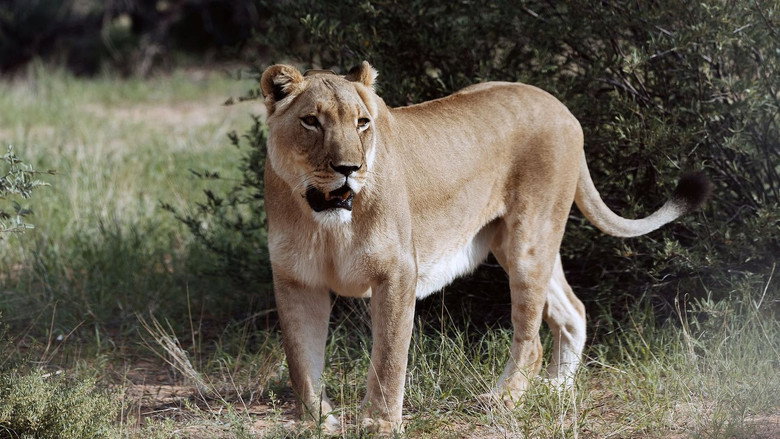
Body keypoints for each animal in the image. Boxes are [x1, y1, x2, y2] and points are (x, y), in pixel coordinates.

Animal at [259, 61, 710, 434]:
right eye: (311, 122)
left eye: (362, 123)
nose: (349, 169)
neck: (324, 222)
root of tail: (559, 106)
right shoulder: (295, 279)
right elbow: (302, 362)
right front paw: (317, 422)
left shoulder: (397, 273)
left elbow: (388, 357)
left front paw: (379, 423)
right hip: (515, 245)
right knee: (573, 311)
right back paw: (556, 390)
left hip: (530, 238)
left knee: (532, 338)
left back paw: (503, 400)